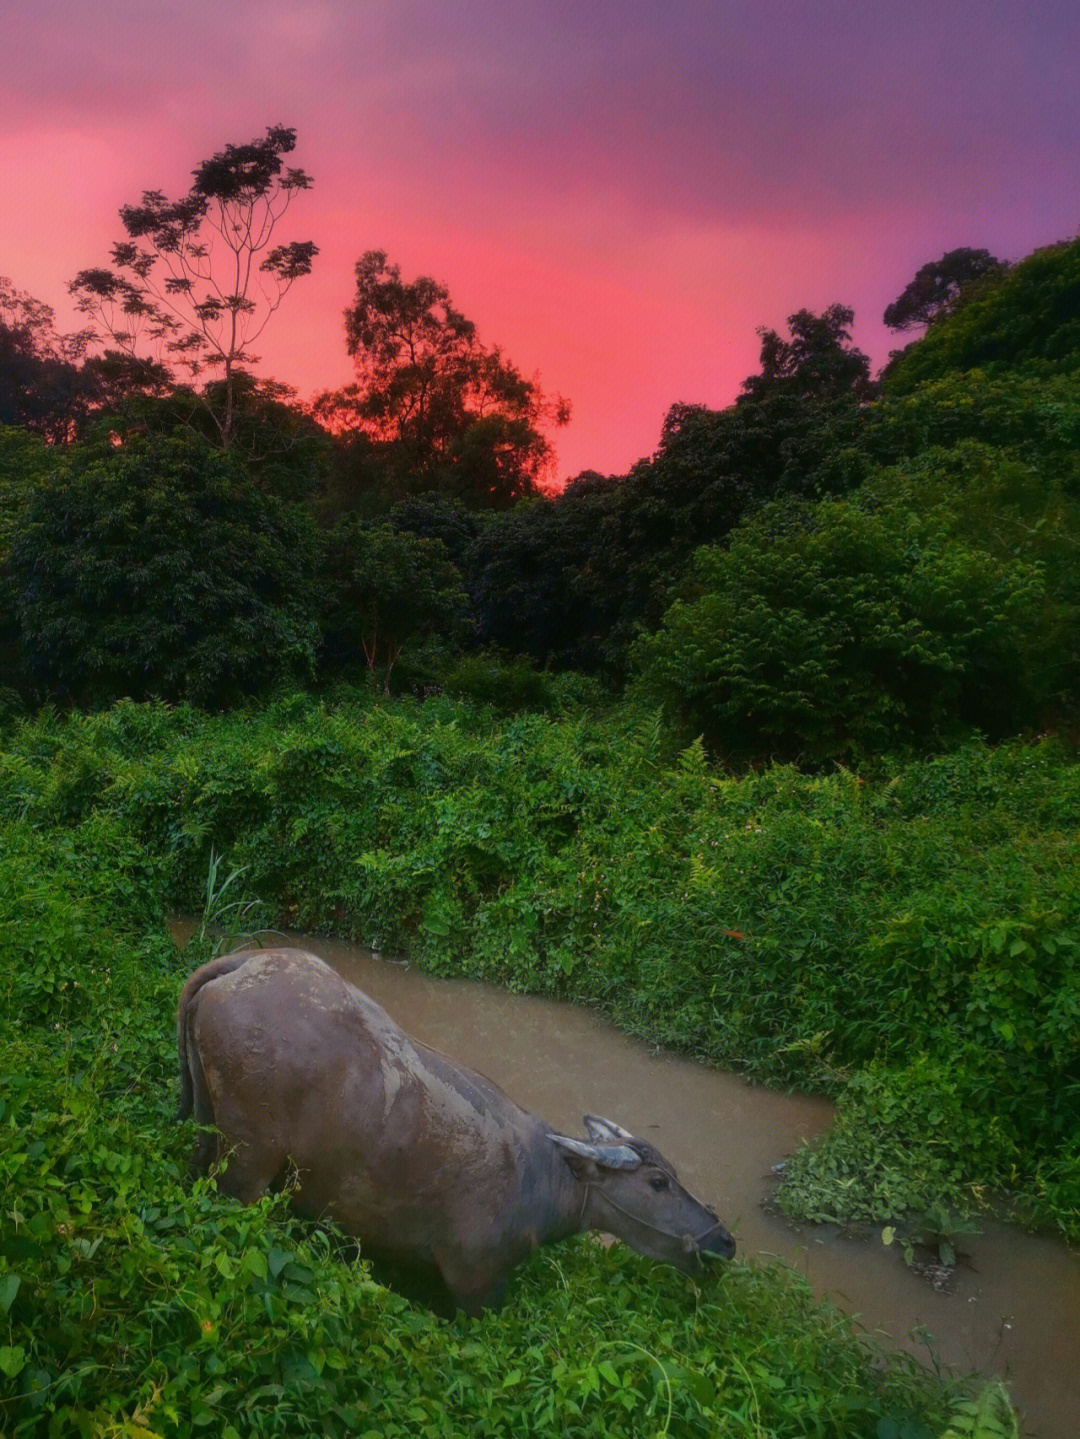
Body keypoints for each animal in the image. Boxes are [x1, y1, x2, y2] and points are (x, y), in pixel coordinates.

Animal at [177, 949, 736, 1312]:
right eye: (657, 1183)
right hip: (248, 1165)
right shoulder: (475, 1281)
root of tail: (243, 965)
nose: (725, 1241)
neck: (543, 1179)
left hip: (205, 1126)